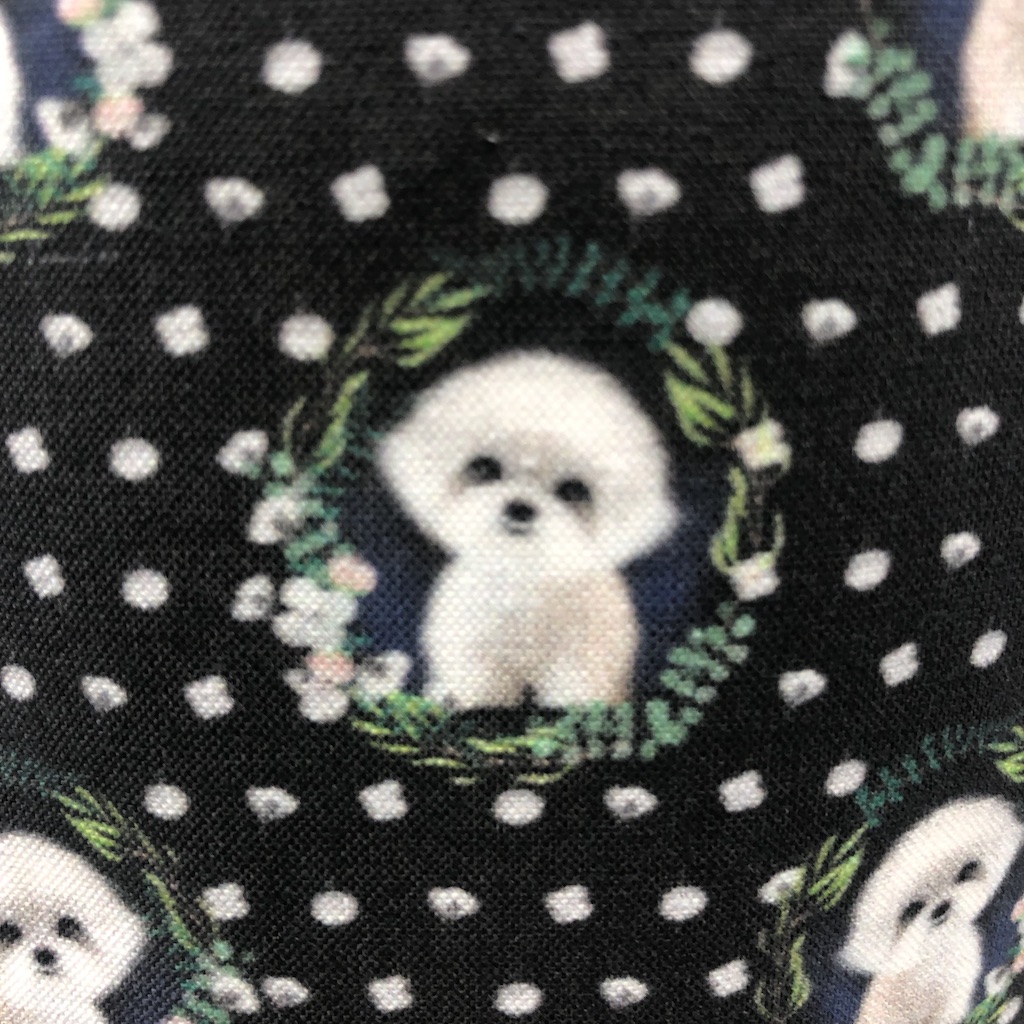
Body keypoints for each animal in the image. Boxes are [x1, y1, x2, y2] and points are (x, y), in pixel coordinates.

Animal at [378, 349, 678, 711]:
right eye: (485, 468)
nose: (520, 509)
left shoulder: (579, 662)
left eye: (572, 490)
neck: (522, 580)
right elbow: (482, 689)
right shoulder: (476, 658)